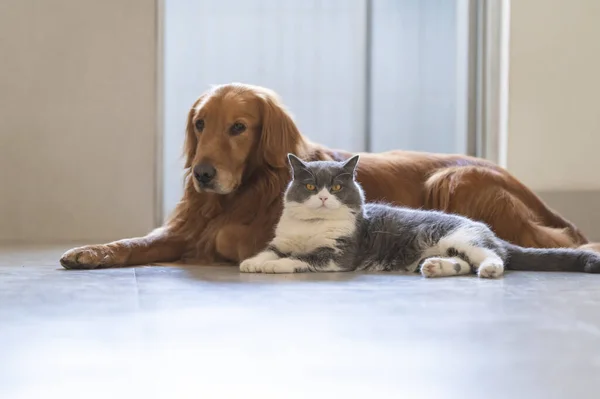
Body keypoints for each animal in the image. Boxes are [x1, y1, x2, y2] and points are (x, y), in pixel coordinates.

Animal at [58, 82, 592, 268]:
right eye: (200, 124)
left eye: (238, 127)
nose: (203, 175)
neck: (244, 191)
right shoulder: (182, 226)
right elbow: (137, 241)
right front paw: (90, 252)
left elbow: (228, 238)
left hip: (453, 181)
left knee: (564, 238)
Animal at [239, 155, 600, 278]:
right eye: (311, 186)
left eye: (338, 186)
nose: (325, 197)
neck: (312, 227)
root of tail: (489, 230)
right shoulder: (283, 240)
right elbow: (272, 249)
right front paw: (252, 262)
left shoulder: (338, 254)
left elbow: (301, 258)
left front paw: (273, 266)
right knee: (463, 264)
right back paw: (436, 267)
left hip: (462, 237)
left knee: (493, 257)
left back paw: (489, 270)